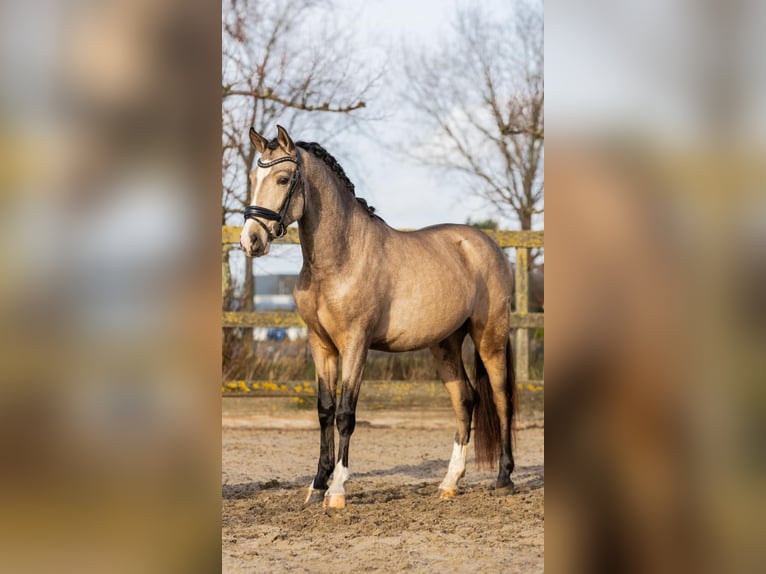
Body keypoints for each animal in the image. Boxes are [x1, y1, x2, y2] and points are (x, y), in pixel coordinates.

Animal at [238, 126, 516, 508]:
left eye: (282, 179)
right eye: (253, 178)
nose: (250, 241)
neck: (341, 258)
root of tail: (487, 245)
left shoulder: (356, 344)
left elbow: (345, 414)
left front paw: (337, 490)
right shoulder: (320, 345)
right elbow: (324, 411)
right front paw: (317, 485)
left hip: (490, 337)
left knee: (501, 398)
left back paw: (504, 478)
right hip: (445, 344)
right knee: (465, 399)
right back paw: (449, 482)